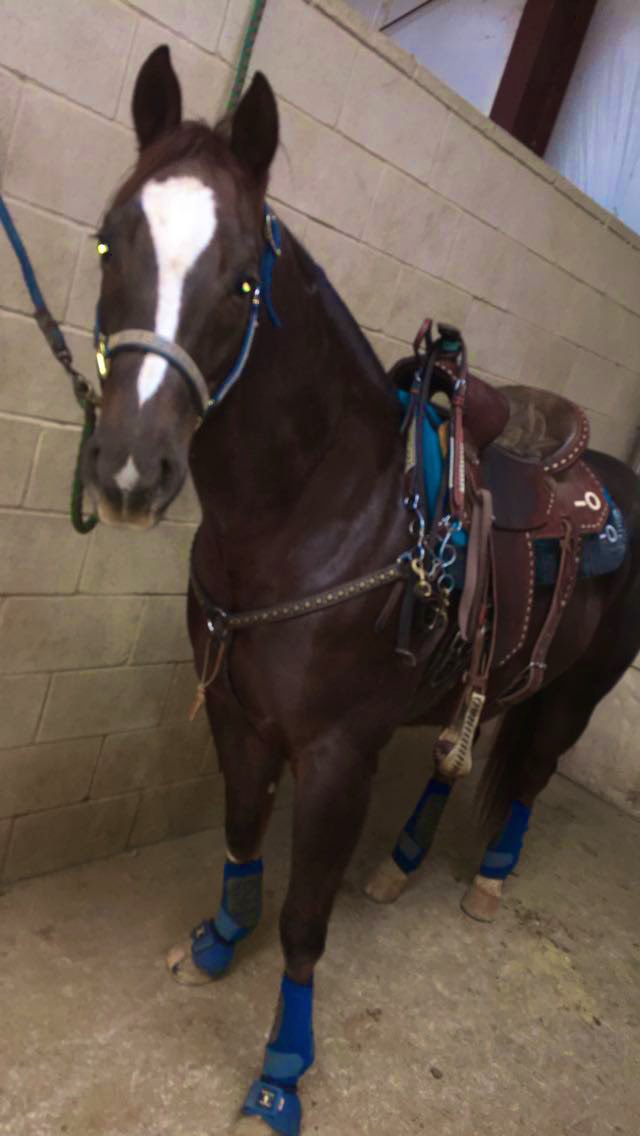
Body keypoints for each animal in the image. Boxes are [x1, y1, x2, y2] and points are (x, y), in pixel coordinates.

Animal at [84, 45, 640, 1136]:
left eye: (242, 276)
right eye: (106, 243)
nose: (130, 468)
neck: (314, 510)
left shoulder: (338, 752)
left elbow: (305, 919)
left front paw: (282, 1068)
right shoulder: (238, 713)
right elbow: (241, 835)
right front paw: (219, 940)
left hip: (577, 689)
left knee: (533, 771)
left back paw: (488, 881)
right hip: (492, 672)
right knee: (463, 746)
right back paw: (402, 862)